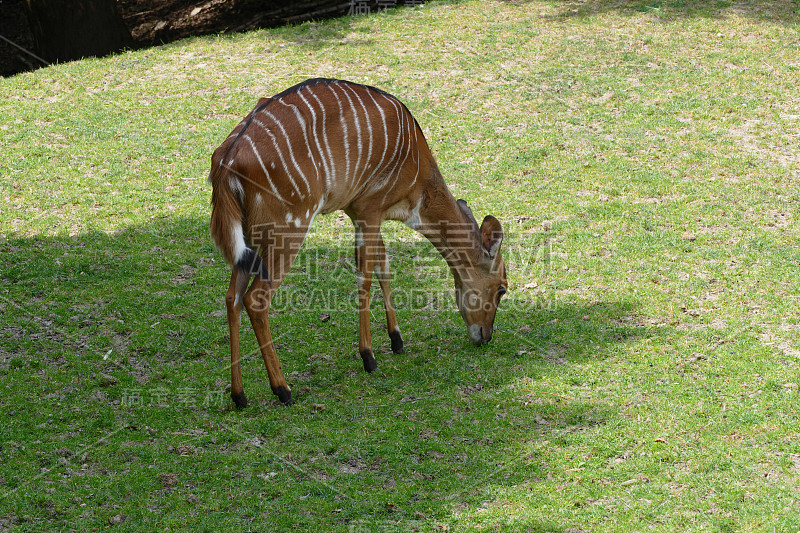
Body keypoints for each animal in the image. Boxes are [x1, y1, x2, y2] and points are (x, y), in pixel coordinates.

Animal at [206, 77, 506, 406]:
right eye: (502, 289)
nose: (485, 336)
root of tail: (225, 164)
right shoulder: (370, 208)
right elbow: (366, 276)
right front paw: (368, 357)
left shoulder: (358, 211)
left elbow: (383, 266)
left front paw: (397, 340)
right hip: (287, 230)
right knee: (255, 299)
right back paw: (283, 389)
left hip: (248, 241)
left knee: (232, 297)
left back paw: (239, 396)